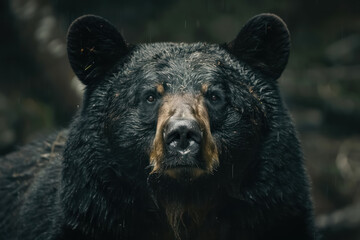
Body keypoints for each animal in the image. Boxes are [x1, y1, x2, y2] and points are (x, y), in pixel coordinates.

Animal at [0, 13, 316, 240]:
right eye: (150, 95)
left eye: (215, 96)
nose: (183, 134)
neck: (182, 203)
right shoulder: (92, 212)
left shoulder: (273, 212)